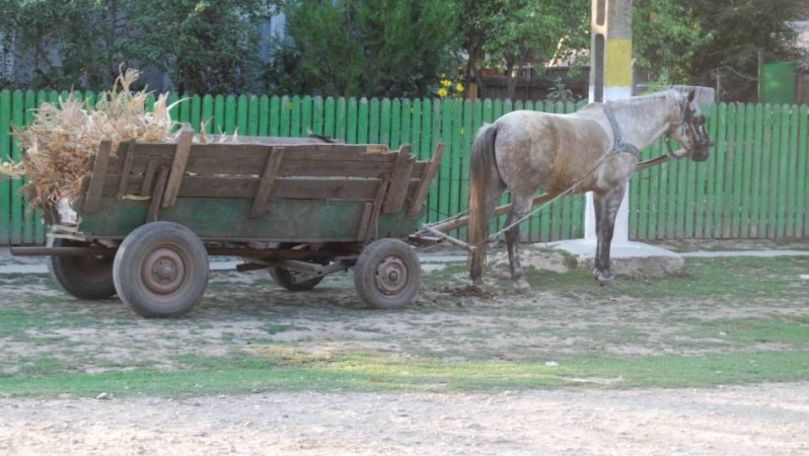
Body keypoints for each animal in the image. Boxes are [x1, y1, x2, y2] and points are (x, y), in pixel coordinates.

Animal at [464, 90, 712, 290]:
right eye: (699, 118)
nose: (706, 149)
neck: (623, 127)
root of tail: (498, 125)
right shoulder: (615, 190)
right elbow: (608, 231)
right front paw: (606, 273)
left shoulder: (599, 192)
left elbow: (600, 230)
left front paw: (598, 269)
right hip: (524, 194)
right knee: (511, 230)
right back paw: (519, 279)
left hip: (494, 190)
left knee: (482, 224)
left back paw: (476, 277)